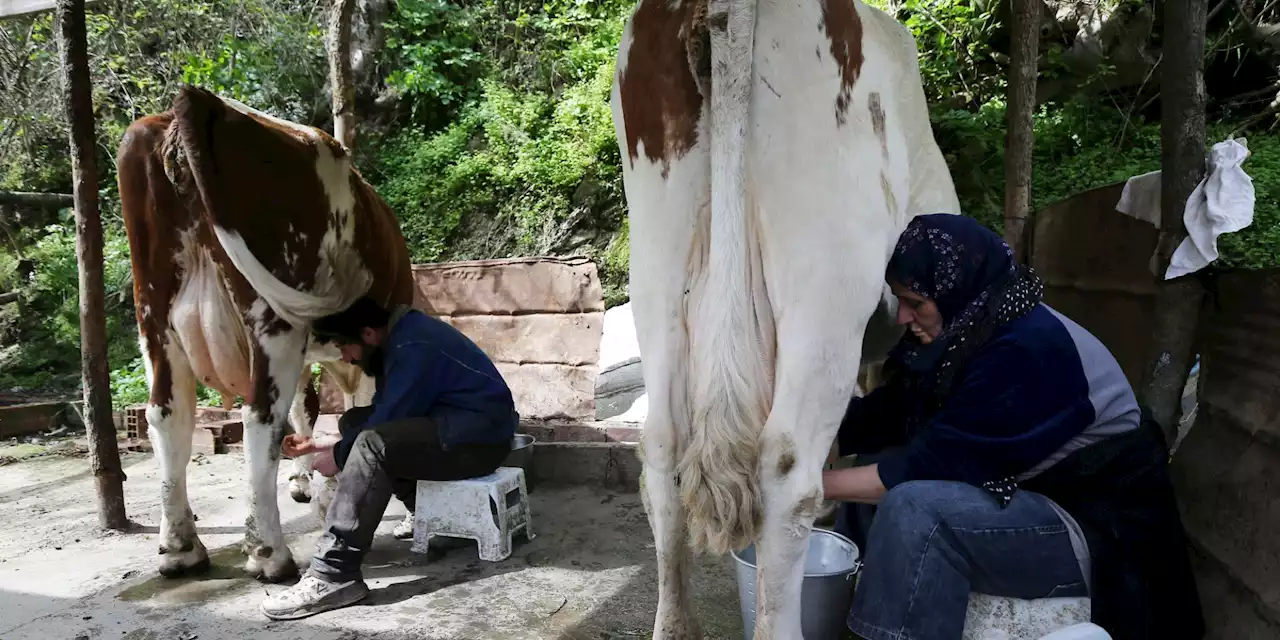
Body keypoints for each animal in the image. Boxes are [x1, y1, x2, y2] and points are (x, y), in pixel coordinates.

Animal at [117, 87, 409, 583]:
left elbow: (310, 409)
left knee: (167, 415)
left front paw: (311, 484)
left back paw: (180, 548)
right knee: (259, 418)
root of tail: (192, 100)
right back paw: (268, 553)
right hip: (272, 321)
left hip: (154, 319)